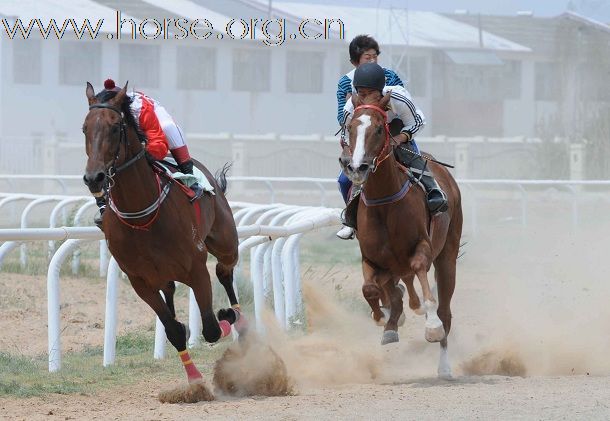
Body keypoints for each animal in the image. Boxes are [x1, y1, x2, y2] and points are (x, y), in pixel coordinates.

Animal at [81, 81, 245, 384]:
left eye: (114, 127)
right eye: (85, 128)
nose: (94, 178)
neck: (143, 214)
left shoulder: (197, 269)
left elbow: (211, 328)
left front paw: (226, 315)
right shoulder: (140, 281)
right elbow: (174, 330)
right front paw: (193, 378)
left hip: (226, 242)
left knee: (225, 272)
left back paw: (238, 315)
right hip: (163, 274)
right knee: (171, 289)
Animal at [338, 91, 460, 378]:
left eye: (378, 129)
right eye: (351, 128)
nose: (356, 167)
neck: (385, 203)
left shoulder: (422, 246)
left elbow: (420, 273)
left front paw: (430, 324)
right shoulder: (371, 257)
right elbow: (370, 289)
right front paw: (385, 318)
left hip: (447, 255)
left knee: (445, 310)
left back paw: (444, 365)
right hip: (394, 264)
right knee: (397, 285)